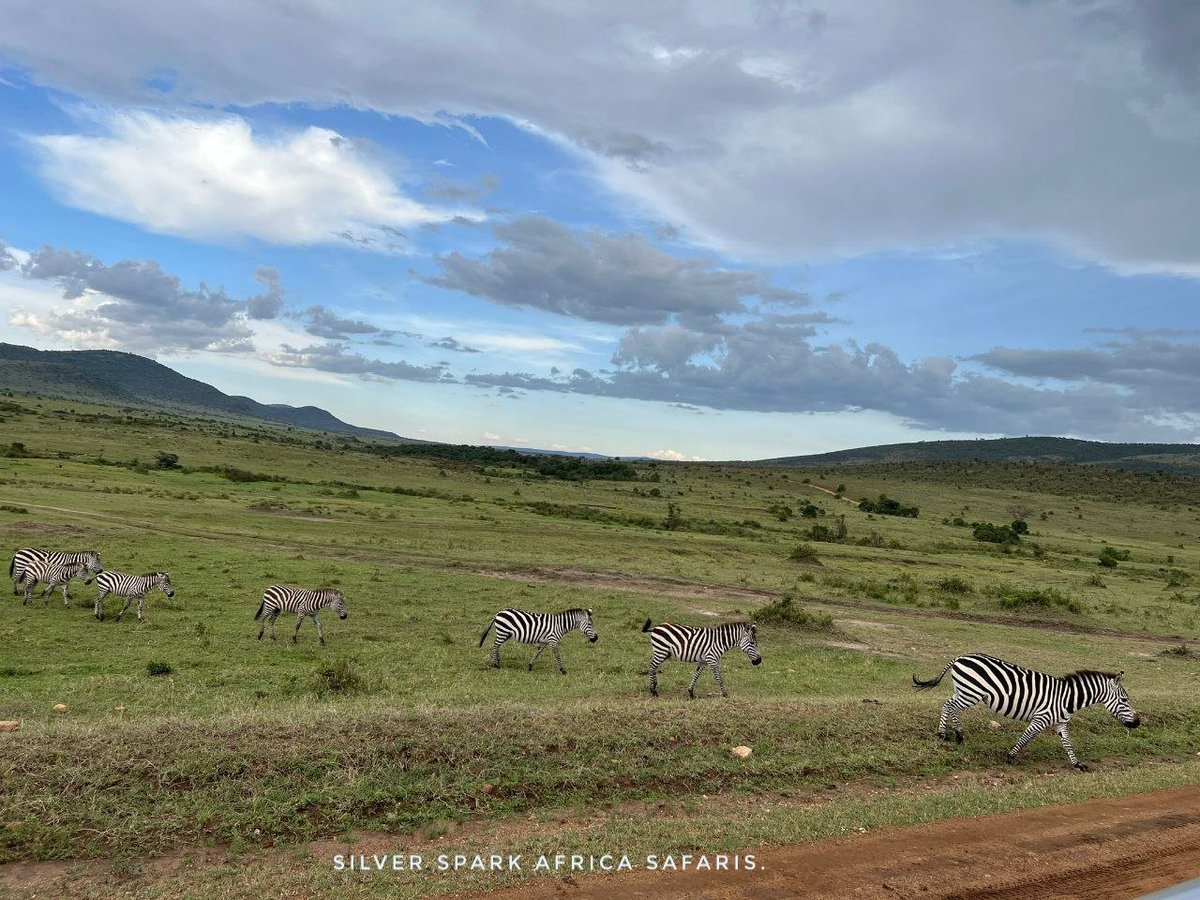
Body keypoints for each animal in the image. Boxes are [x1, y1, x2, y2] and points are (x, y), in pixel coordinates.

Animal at [912, 652, 1137, 772]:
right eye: (1125, 700)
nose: (1138, 723)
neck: (1067, 699)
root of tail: (960, 657)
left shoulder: (1060, 722)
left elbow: (1067, 744)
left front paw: (1077, 764)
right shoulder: (1041, 718)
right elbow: (1026, 736)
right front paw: (1011, 757)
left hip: (964, 691)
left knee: (950, 705)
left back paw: (958, 735)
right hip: (970, 692)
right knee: (949, 706)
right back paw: (943, 734)